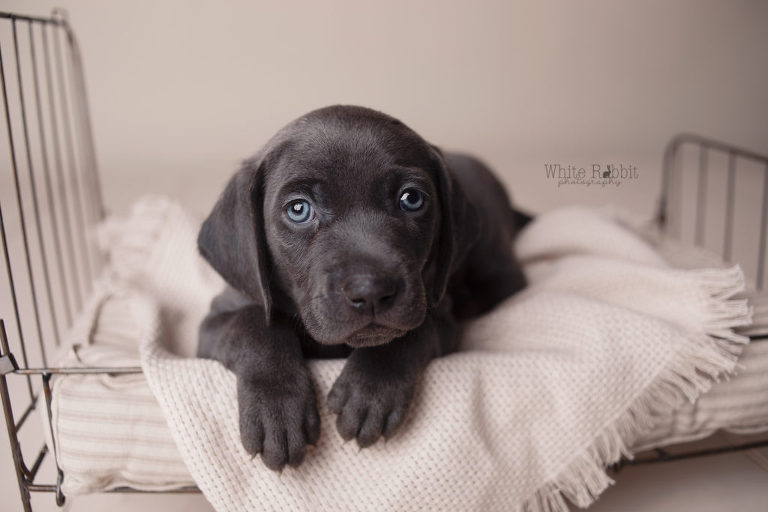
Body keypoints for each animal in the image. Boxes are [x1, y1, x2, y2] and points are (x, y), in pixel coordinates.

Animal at [196, 106, 528, 470]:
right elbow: (255, 325)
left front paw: (370, 392)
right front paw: (277, 408)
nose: (371, 291)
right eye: (298, 209)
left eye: (412, 199)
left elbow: (409, 333)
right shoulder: (214, 322)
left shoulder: (440, 314)